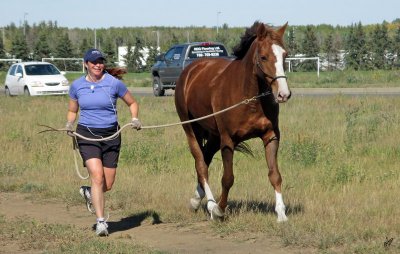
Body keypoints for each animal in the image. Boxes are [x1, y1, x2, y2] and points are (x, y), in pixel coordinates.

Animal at [175, 22, 290, 222]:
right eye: (263, 57)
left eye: (285, 55)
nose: (283, 94)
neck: (249, 98)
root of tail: (190, 71)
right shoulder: (228, 141)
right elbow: (228, 178)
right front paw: (219, 210)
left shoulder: (271, 136)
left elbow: (275, 175)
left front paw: (281, 214)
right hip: (191, 129)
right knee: (201, 165)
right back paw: (210, 205)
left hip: (214, 136)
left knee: (205, 160)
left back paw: (196, 200)